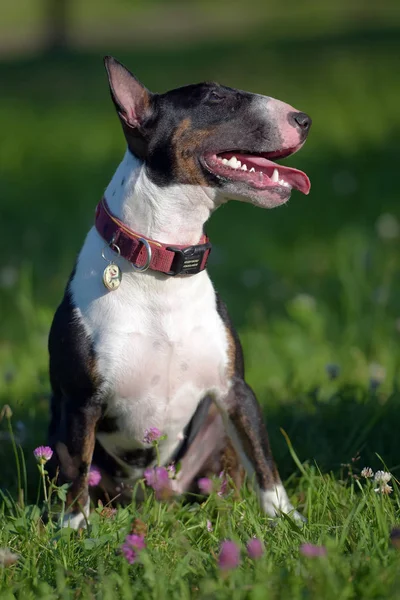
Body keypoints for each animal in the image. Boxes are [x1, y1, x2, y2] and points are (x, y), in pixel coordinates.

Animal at [46, 55, 310, 524]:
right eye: (215, 97)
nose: (304, 119)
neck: (163, 267)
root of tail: (155, 497)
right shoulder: (80, 403)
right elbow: (76, 477)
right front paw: (74, 529)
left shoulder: (236, 390)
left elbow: (264, 461)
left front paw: (285, 519)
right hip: (57, 429)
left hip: (212, 430)